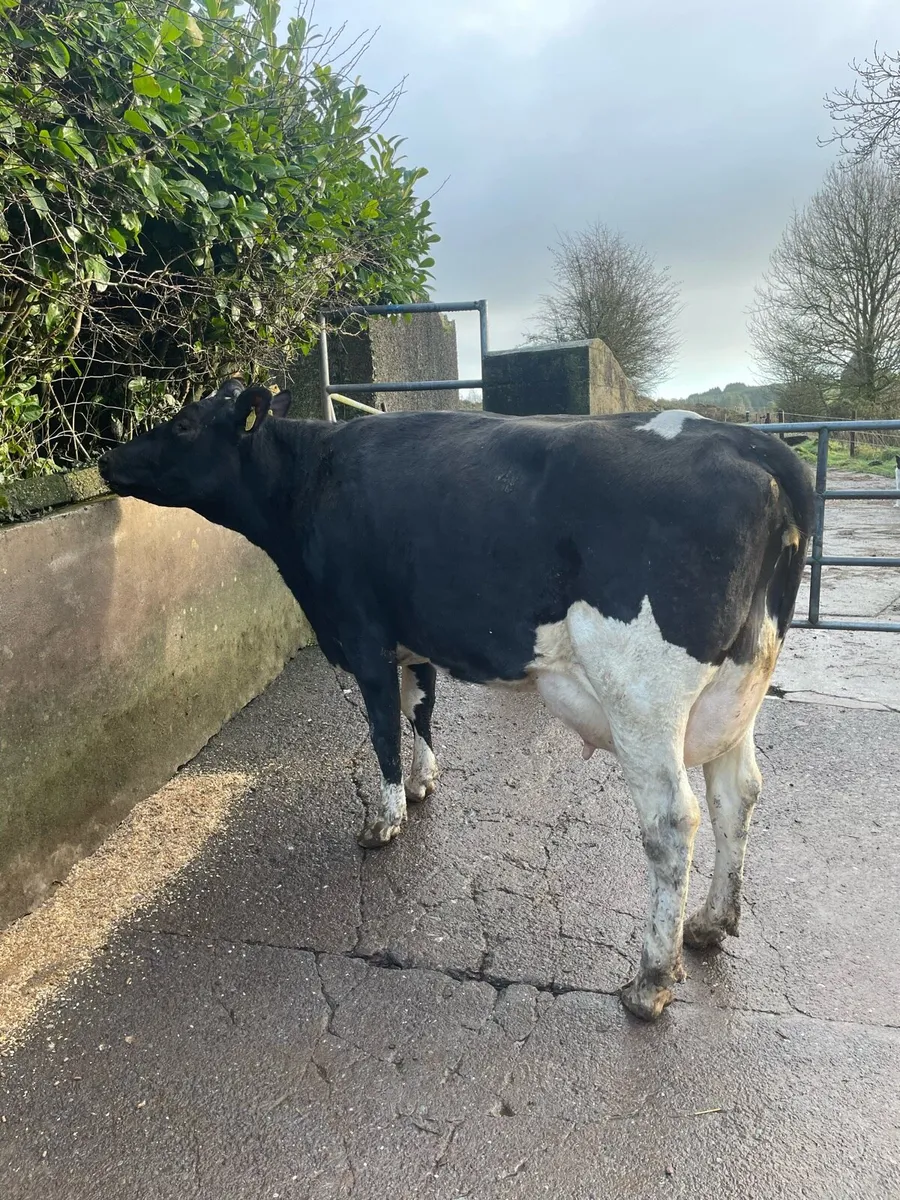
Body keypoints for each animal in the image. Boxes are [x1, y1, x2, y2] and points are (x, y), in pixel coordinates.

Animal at [99, 383, 815, 1021]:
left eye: (185, 424)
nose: (107, 461)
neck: (311, 478)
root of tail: (752, 443)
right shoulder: (414, 637)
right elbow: (421, 709)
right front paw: (423, 784)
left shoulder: (363, 632)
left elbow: (382, 729)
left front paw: (383, 820)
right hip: (739, 688)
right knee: (737, 793)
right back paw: (711, 921)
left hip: (641, 693)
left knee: (671, 822)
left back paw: (650, 982)